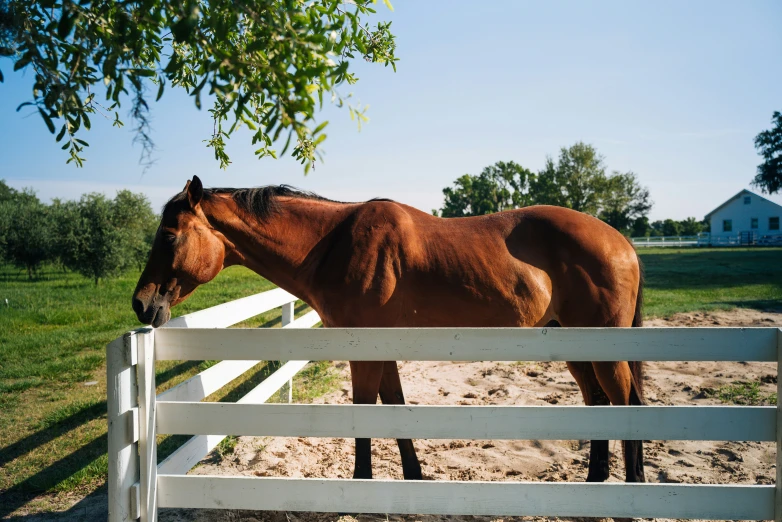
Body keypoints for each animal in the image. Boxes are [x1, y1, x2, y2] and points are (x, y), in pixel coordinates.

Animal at [135, 177, 648, 482]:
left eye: (170, 236)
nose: (142, 303)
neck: (334, 244)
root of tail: (620, 241)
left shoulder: (364, 347)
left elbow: (366, 411)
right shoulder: (381, 345)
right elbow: (394, 407)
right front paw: (414, 478)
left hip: (603, 346)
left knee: (626, 402)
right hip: (575, 344)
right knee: (598, 403)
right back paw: (595, 483)